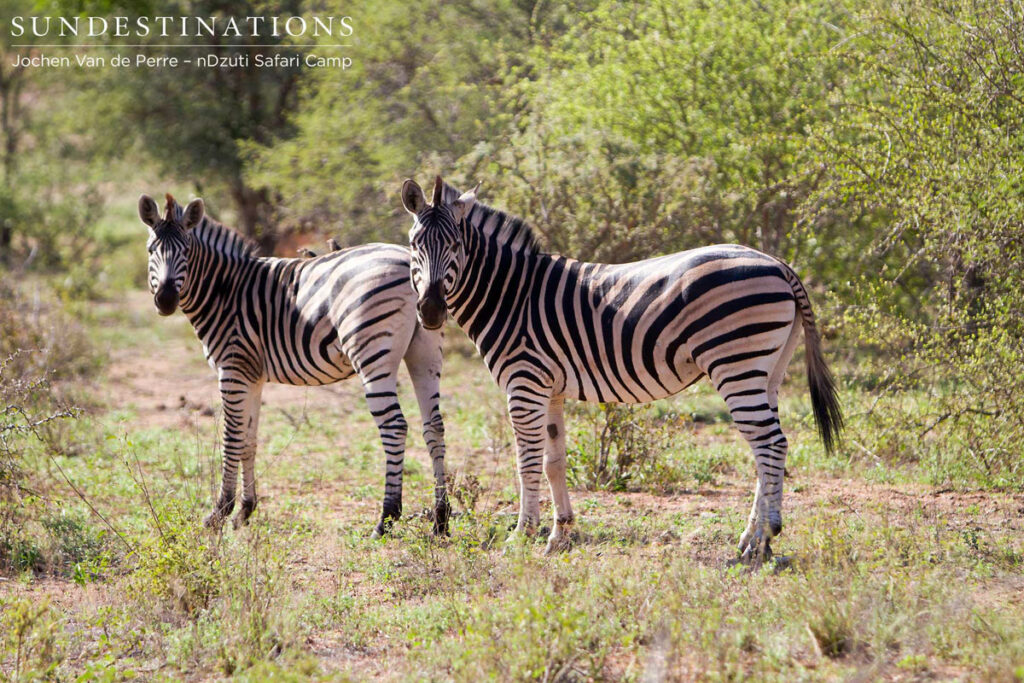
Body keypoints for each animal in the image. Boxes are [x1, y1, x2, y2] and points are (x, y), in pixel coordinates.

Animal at [138, 193, 450, 537]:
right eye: (151, 250)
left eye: (186, 251)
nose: (166, 300)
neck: (225, 290)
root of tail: (407, 259)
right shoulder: (252, 375)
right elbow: (249, 440)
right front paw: (245, 510)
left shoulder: (232, 369)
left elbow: (231, 439)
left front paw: (219, 512)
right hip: (425, 350)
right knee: (434, 426)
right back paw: (441, 518)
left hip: (371, 354)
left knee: (395, 426)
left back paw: (386, 519)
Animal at [401, 176, 842, 562]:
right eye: (414, 244)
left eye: (455, 244)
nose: (431, 310)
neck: (511, 294)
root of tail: (779, 264)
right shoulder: (550, 388)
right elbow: (554, 462)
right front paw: (560, 534)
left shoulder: (524, 382)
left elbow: (527, 462)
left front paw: (522, 534)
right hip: (768, 370)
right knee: (767, 448)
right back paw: (754, 539)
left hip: (737, 363)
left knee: (770, 444)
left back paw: (763, 539)